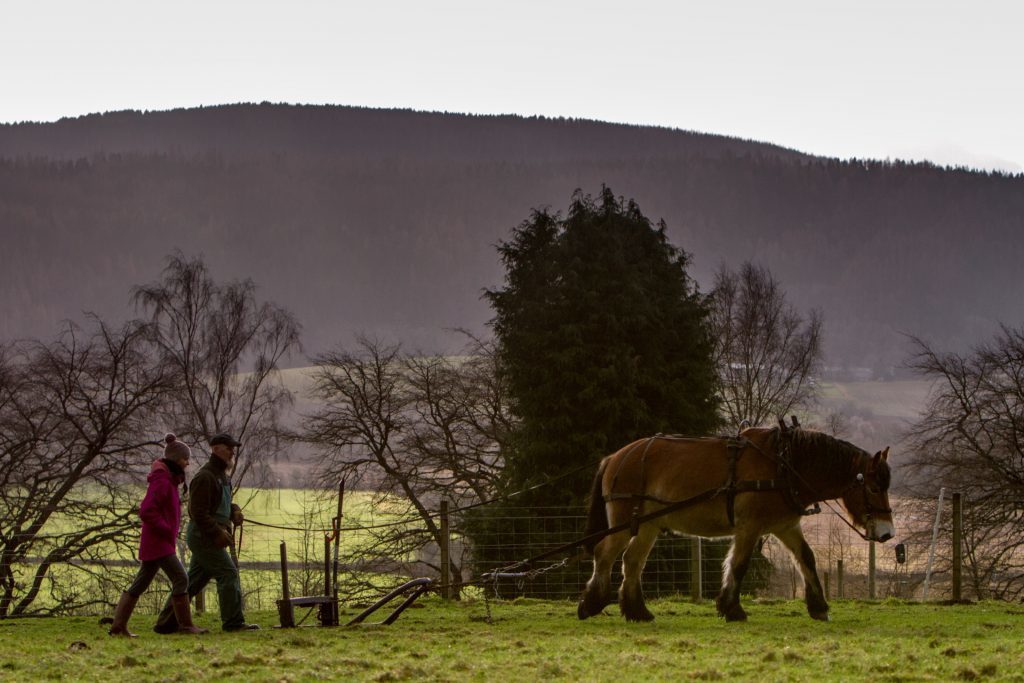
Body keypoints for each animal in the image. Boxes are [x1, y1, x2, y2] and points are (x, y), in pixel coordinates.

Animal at [581, 428, 892, 626]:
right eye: (874, 488)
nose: (887, 532)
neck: (783, 464)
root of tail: (614, 457)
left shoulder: (785, 526)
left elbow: (807, 559)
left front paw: (819, 608)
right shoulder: (749, 527)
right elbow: (739, 565)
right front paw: (733, 608)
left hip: (647, 525)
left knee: (632, 561)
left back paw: (637, 611)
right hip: (624, 523)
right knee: (604, 554)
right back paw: (591, 603)